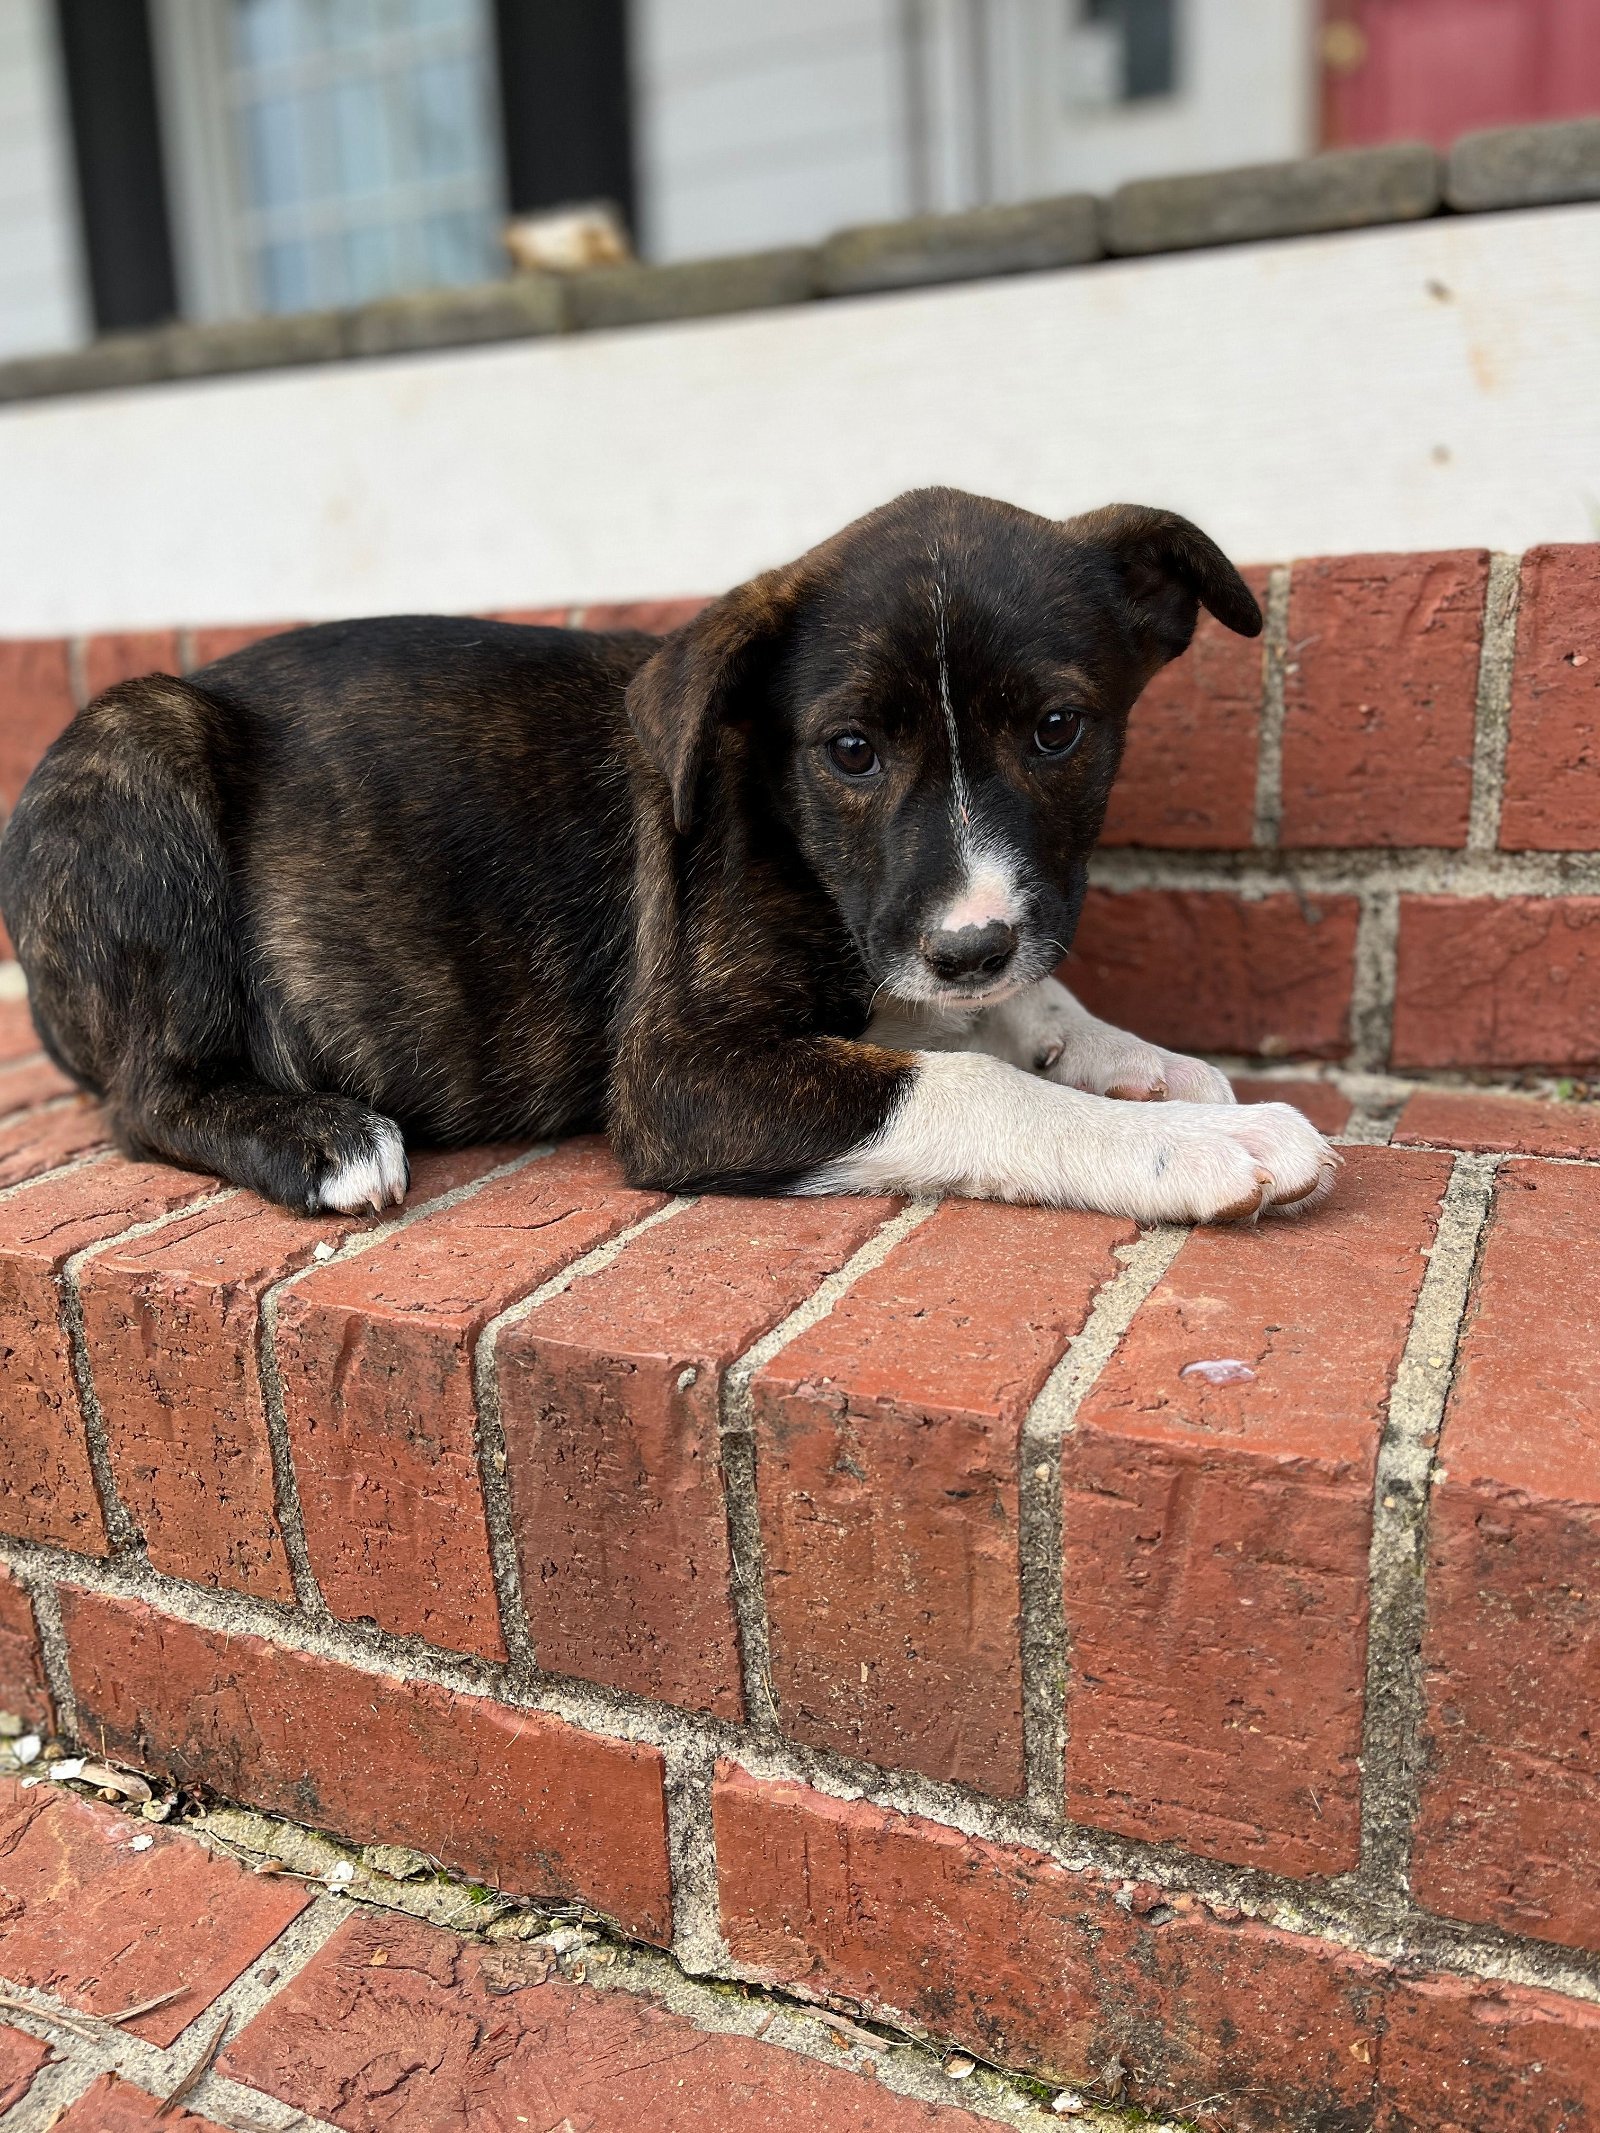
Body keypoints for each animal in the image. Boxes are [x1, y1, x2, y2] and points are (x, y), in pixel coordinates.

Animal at [0, 484, 1339, 1220]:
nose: (970, 948)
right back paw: (319, 1137)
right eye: (850, 750)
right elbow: (960, 1080)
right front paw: (1192, 1146)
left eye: (1058, 730)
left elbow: (1013, 1009)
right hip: (138, 748)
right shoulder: (678, 1073)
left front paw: (1130, 1061)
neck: (788, 826)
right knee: (148, 1095)